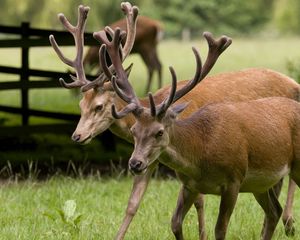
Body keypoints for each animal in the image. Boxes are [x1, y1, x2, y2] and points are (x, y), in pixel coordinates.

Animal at [49, 2, 298, 240]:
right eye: (81, 106)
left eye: (99, 106)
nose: (77, 136)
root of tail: (294, 83)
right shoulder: (151, 159)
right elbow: (133, 204)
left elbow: (200, 201)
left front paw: (202, 235)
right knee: (275, 186)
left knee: (289, 180)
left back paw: (289, 223)